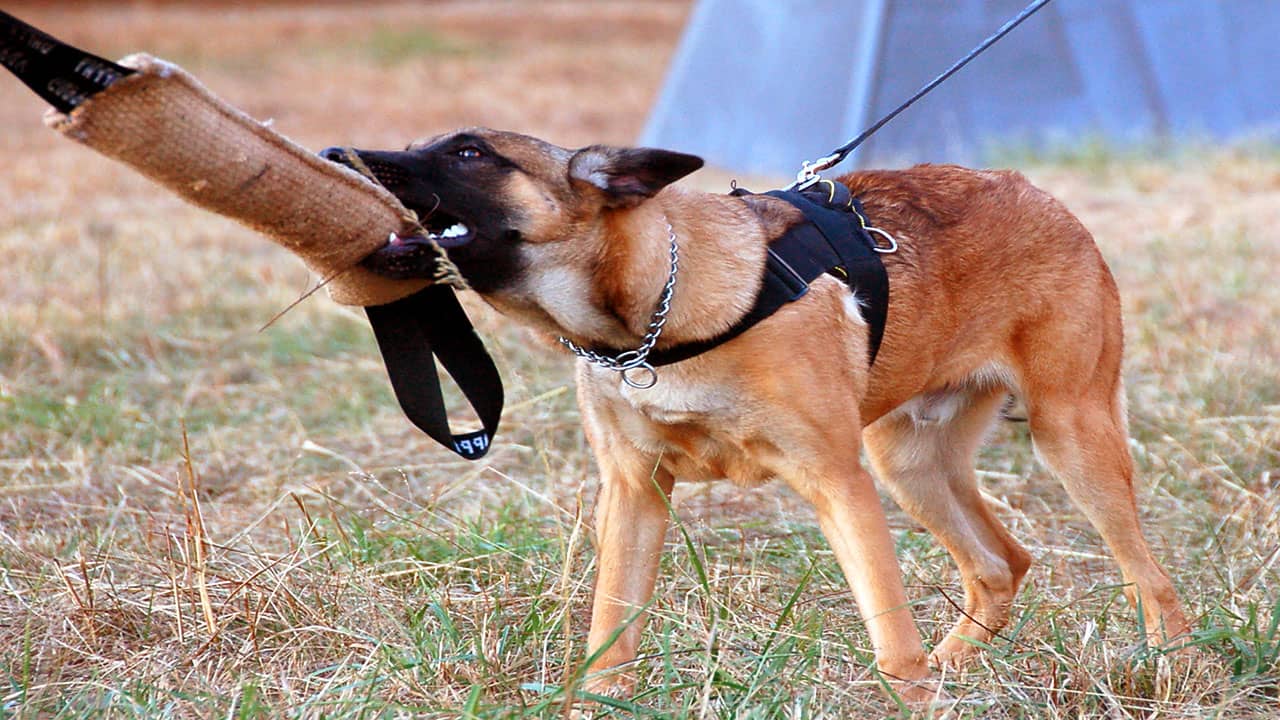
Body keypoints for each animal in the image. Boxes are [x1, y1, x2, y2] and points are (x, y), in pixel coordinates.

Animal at [327, 127, 1187, 696]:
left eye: (470, 153)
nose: (338, 155)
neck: (656, 315)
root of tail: (1035, 191)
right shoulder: (634, 496)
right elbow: (610, 643)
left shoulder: (838, 484)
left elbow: (892, 645)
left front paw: (909, 688)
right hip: (909, 464)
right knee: (1001, 563)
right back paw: (956, 666)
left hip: (1070, 439)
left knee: (1151, 581)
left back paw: (1169, 668)